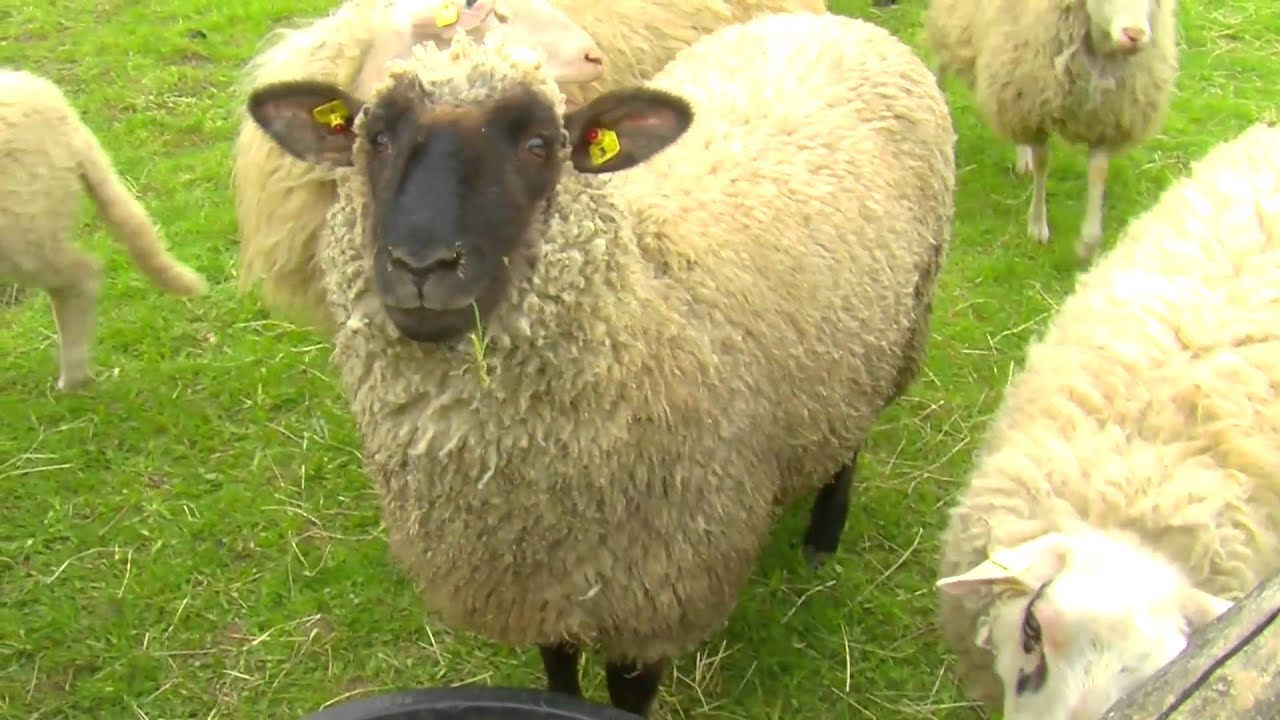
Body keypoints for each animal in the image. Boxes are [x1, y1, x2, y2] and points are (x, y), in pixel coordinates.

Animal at [923, 0, 1180, 262]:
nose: (1134, 34)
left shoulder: (1104, 118)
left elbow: (1099, 171)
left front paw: (1089, 241)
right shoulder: (1036, 103)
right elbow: (1042, 163)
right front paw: (1037, 226)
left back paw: (1022, 158)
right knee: (941, 62)